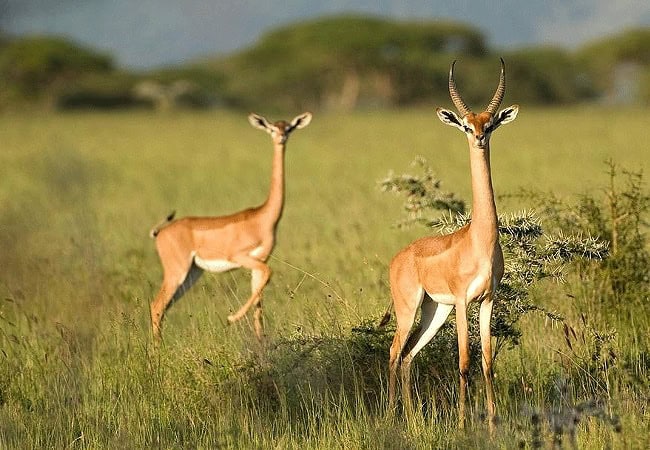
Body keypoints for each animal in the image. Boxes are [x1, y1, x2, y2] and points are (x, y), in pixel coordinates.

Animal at [149, 112, 312, 342]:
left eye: (289, 127)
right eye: (272, 128)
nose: (281, 137)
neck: (263, 218)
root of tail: (160, 233)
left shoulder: (259, 263)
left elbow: (259, 302)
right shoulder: (241, 257)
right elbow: (267, 277)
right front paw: (231, 318)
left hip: (191, 273)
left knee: (163, 307)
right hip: (177, 271)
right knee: (156, 306)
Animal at [387, 59, 518, 432]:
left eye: (490, 123)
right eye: (465, 124)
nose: (479, 138)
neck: (479, 240)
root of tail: (399, 257)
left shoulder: (487, 300)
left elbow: (487, 362)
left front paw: (492, 423)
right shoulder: (462, 301)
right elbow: (463, 361)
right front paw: (462, 425)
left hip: (434, 310)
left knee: (408, 356)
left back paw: (411, 419)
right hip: (410, 309)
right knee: (393, 353)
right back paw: (391, 418)